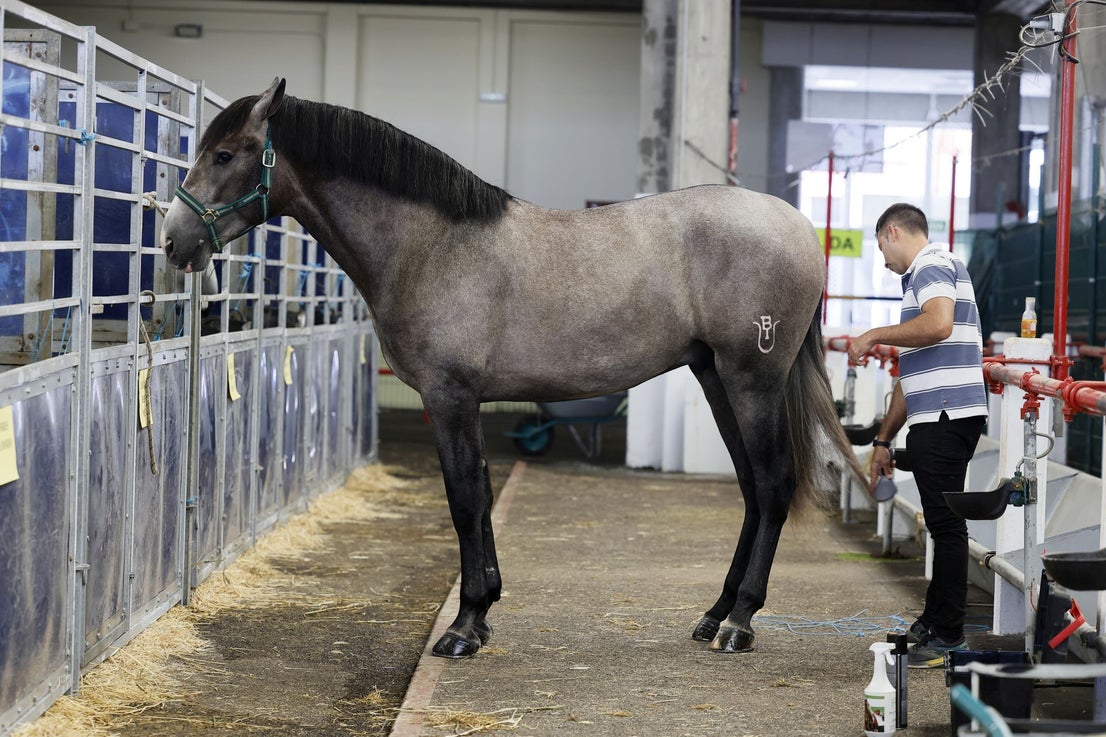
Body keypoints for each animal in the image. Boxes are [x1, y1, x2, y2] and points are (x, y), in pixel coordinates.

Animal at [161, 77, 865, 659]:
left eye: (226, 154)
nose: (172, 240)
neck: (431, 245)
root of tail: (798, 227)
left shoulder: (447, 397)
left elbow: (464, 499)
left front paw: (463, 627)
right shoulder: (466, 400)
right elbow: (480, 490)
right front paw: (483, 612)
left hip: (752, 381)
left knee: (772, 485)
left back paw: (739, 623)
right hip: (716, 378)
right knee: (750, 489)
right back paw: (714, 613)